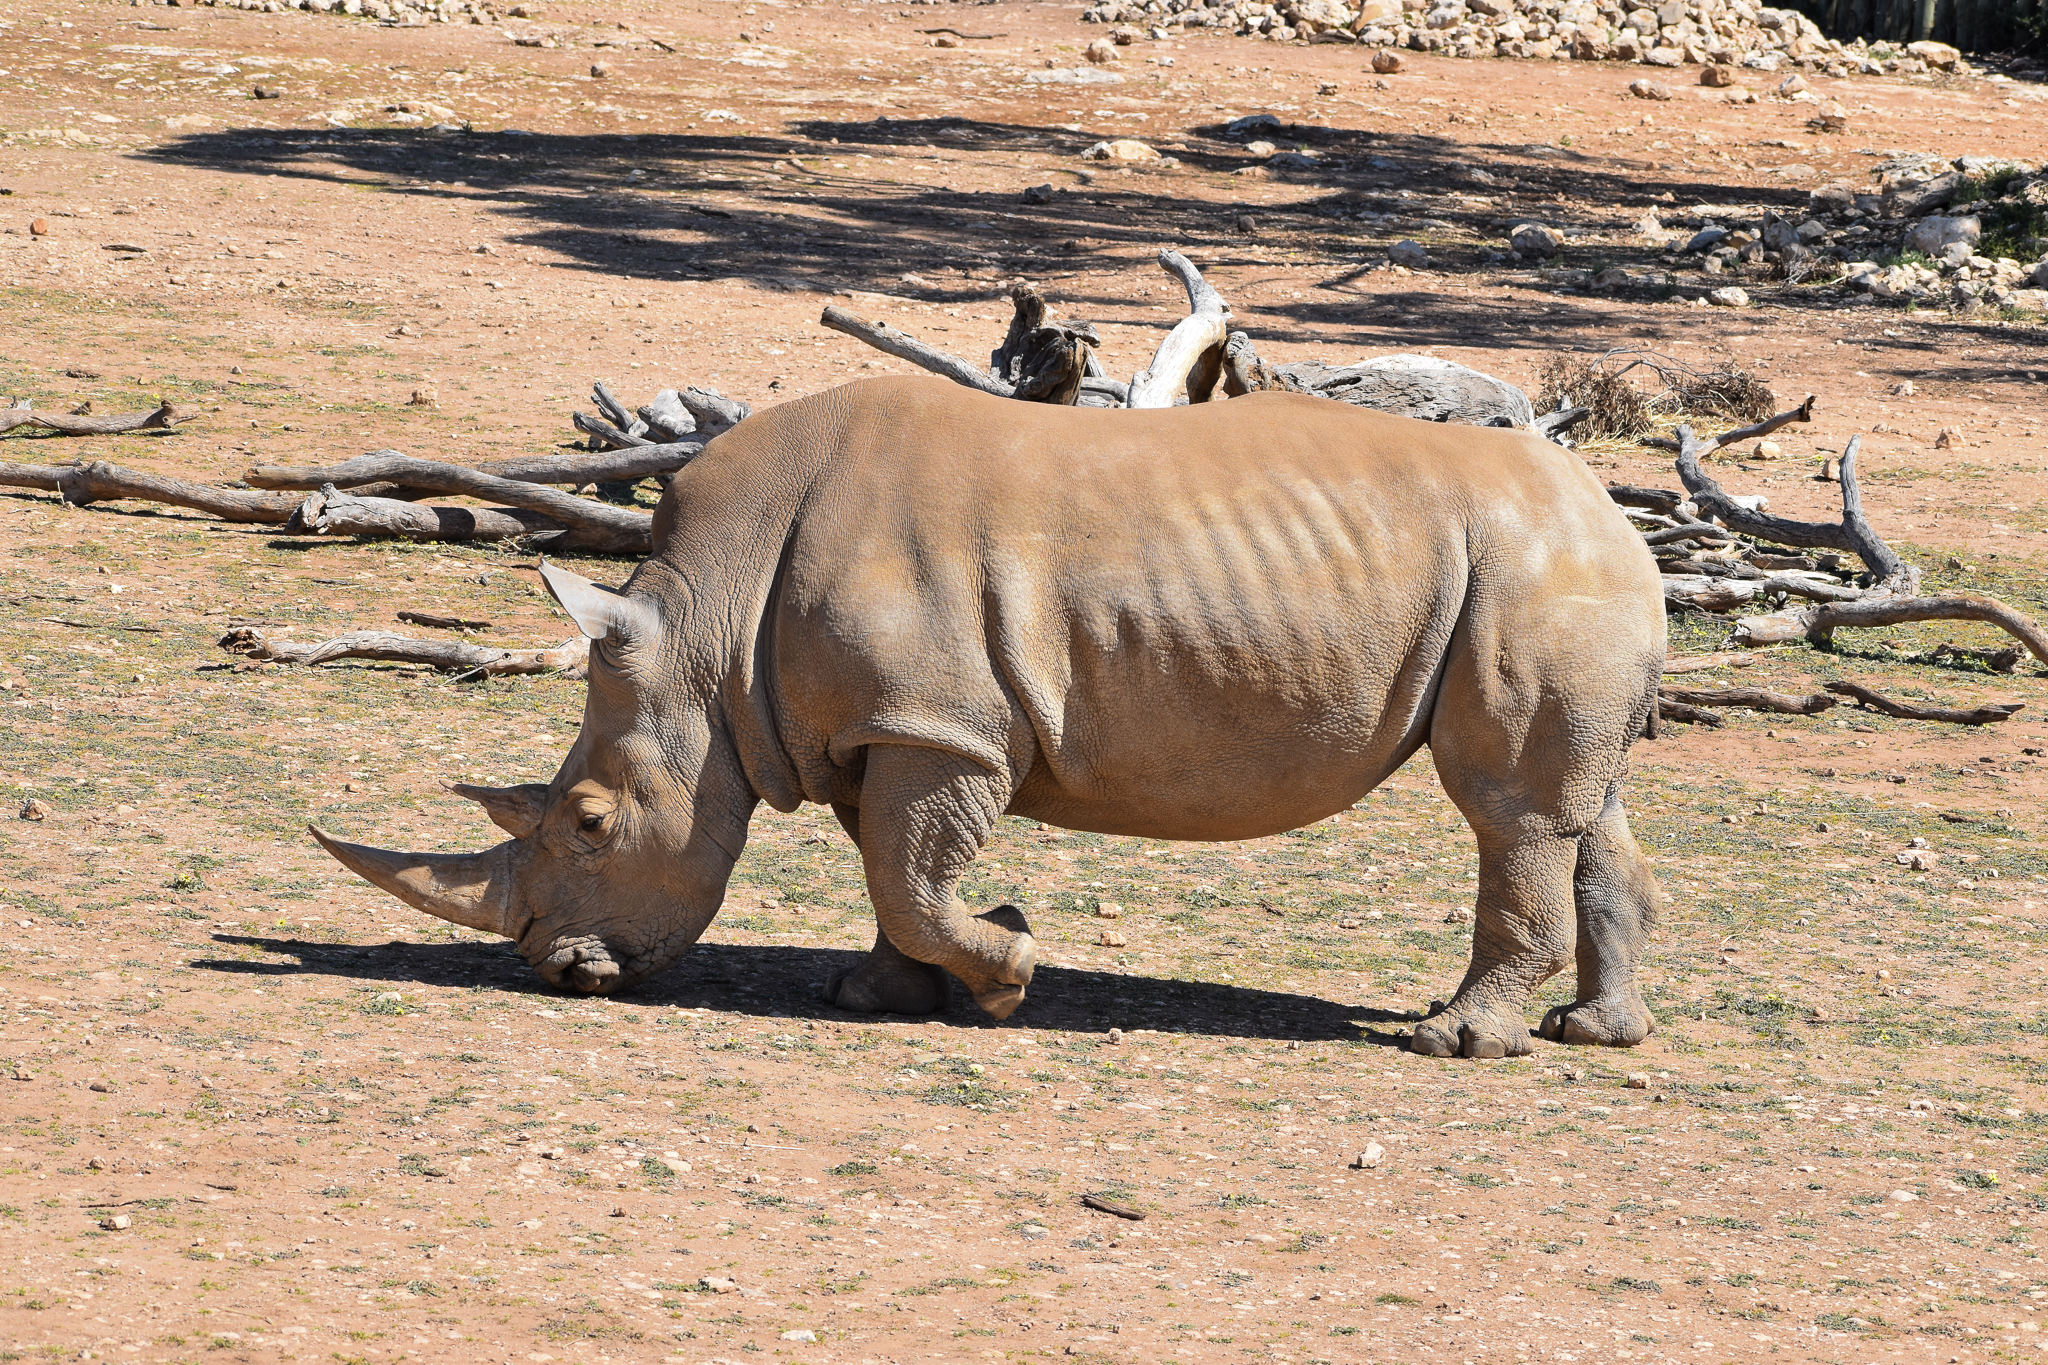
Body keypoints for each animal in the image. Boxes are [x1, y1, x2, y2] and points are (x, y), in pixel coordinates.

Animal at [313, 376, 1666, 1059]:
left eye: (591, 824)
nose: (559, 970)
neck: (705, 626)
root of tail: (1616, 513)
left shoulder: (936, 723)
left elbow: (910, 871)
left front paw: (1010, 971)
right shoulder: (879, 723)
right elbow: (887, 866)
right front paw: (877, 996)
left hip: (1526, 573)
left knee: (1508, 810)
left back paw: (1456, 1043)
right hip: (1552, 575)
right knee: (1580, 805)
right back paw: (1595, 1033)